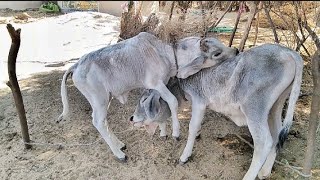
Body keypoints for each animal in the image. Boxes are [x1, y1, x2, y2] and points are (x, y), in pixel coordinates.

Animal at [130, 43, 302, 179]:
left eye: (143, 100)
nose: (131, 118)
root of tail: (287, 51)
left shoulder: (199, 101)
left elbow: (192, 127)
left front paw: (185, 155)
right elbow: (197, 126)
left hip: (254, 108)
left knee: (264, 141)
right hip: (275, 107)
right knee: (277, 135)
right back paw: (265, 171)